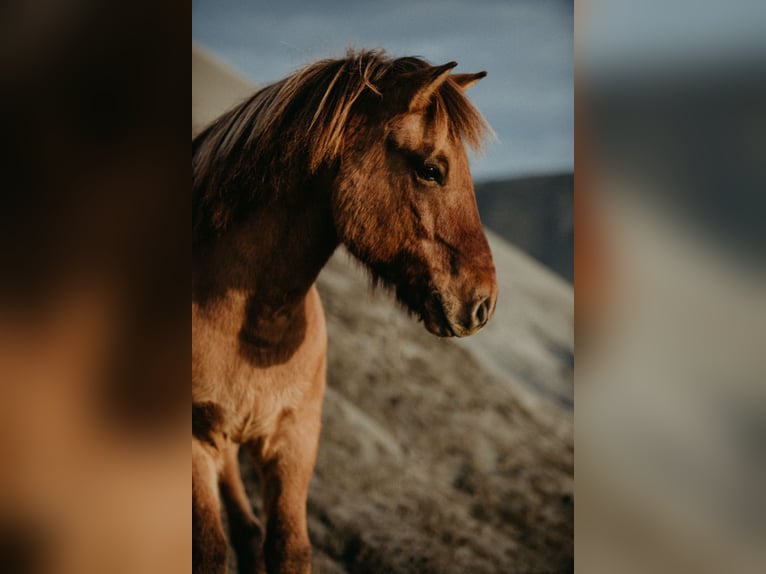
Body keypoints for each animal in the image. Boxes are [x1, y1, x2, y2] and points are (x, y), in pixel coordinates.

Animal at [194, 50, 498, 574]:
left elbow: (289, 547)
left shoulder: (295, 442)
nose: (483, 302)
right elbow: (210, 550)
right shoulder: (194, 446)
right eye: (431, 169)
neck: (250, 329)